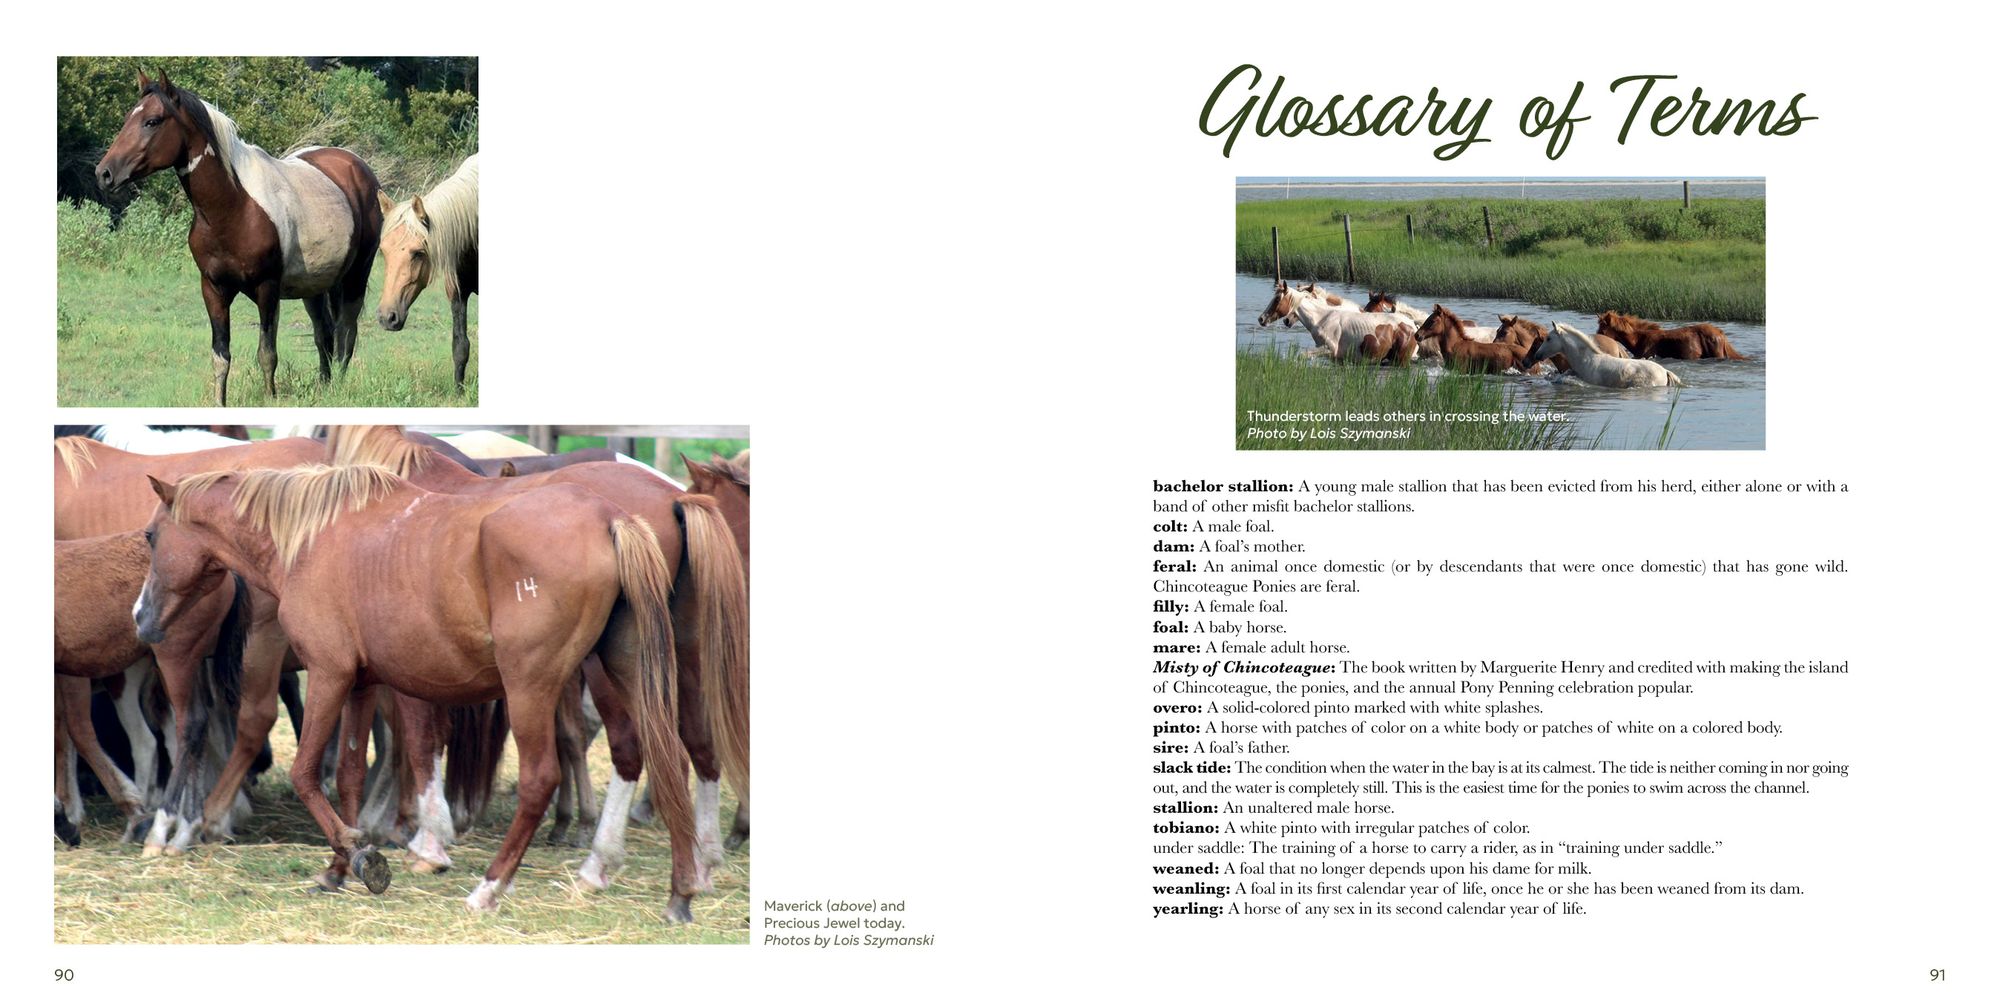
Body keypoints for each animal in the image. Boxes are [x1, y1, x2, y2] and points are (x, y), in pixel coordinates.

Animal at [95, 72, 382, 405]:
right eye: (129, 117)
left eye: (152, 121)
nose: (104, 173)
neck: (234, 208)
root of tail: (358, 168)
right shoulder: (213, 290)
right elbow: (221, 357)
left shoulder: (267, 289)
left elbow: (267, 354)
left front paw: (270, 397)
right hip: (316, 284)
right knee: (324, 332)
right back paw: (324, 384)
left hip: (356, 275)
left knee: (345, 331)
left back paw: (338, 387)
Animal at [135, 464, 709, 919]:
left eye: (151, 537)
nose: (140, 618)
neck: (311, 540)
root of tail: (609, 518)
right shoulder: (361, 684)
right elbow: (348, 775)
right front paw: (338, 867)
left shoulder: (328, 675)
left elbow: (305, 773)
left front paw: (359, 854)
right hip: (629, 674)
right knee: (667, 757)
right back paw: (680, 890)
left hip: (532, 687)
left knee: (541, 780)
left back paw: (489, 888)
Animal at [377, 154, 479, 392]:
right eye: (383, 251)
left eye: (418, 253)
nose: (387, 317)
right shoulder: (457, 293)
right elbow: (460, 346)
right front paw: (458, 393)